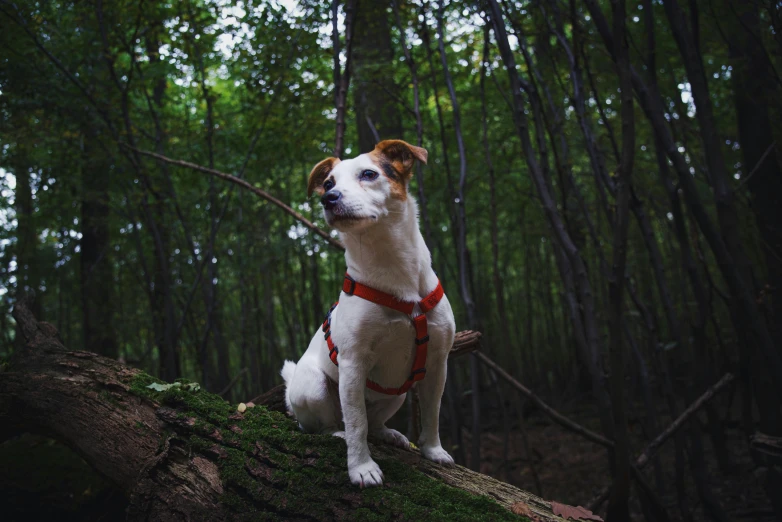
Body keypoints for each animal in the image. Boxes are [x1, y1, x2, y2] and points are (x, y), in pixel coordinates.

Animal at [280, 139, 456, 488]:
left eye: (369, 174)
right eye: (328, 183)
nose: (329, 198)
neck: (393, 270)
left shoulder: (437, 363)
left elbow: (432, 413)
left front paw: (433, 450)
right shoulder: (353, 363)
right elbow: (356, 423)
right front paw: (361, 467)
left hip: (396, 394)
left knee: (374, 422)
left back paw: (389, 434)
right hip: (314, 387)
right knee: (329, 423)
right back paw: (336, 433)